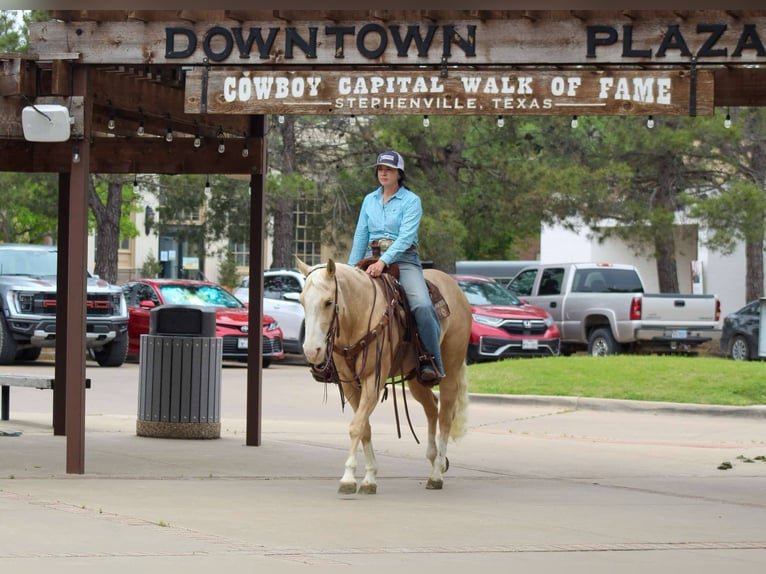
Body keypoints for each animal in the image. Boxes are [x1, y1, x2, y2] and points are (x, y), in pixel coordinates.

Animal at [296, 257, 473, 494]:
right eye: (301, 301)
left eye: (328, 302)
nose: (311, 351)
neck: (358, 318)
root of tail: (456, 288)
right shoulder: (351, 384)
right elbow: (364, 427)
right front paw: (370, 477)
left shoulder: (373, 379)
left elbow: (356, 426)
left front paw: (348, 478)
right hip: (416, 379)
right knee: (431, 409)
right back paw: (435, 458)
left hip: (451, 370)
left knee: (445, 415)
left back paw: (436, 475)